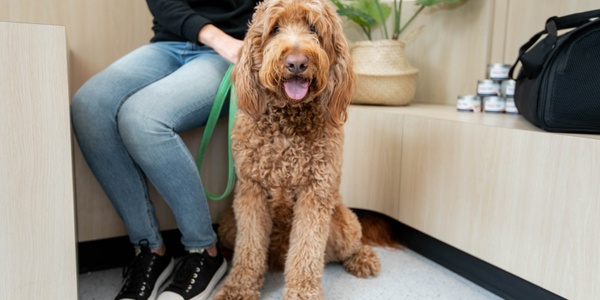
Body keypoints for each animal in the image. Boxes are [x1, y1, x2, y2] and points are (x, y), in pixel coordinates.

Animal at [214, 0, 380, 298]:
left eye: (313, 28)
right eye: (275, 29)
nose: (296, 62)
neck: (288, 123)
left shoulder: (315, 192)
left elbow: (306, 251)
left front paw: (302, 291)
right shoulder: (252, 191)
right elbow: (249, 249)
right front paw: (238, 287)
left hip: (344, 223)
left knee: (347, 245)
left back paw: (362, 258)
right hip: (227, 225)